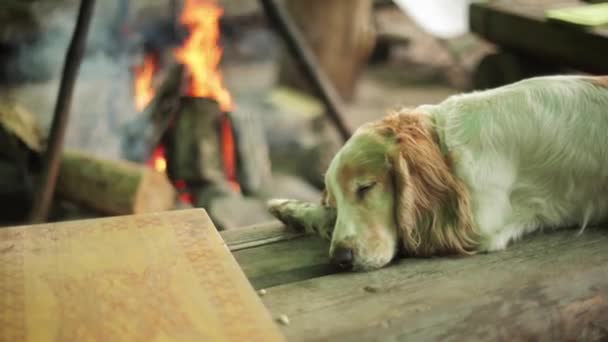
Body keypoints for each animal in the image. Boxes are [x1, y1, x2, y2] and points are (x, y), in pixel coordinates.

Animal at [268, 76, 608, 272]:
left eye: (365, 187)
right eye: (336, 201)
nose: (340, 259)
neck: (443, 144)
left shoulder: (476, 226)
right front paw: (290, 208)